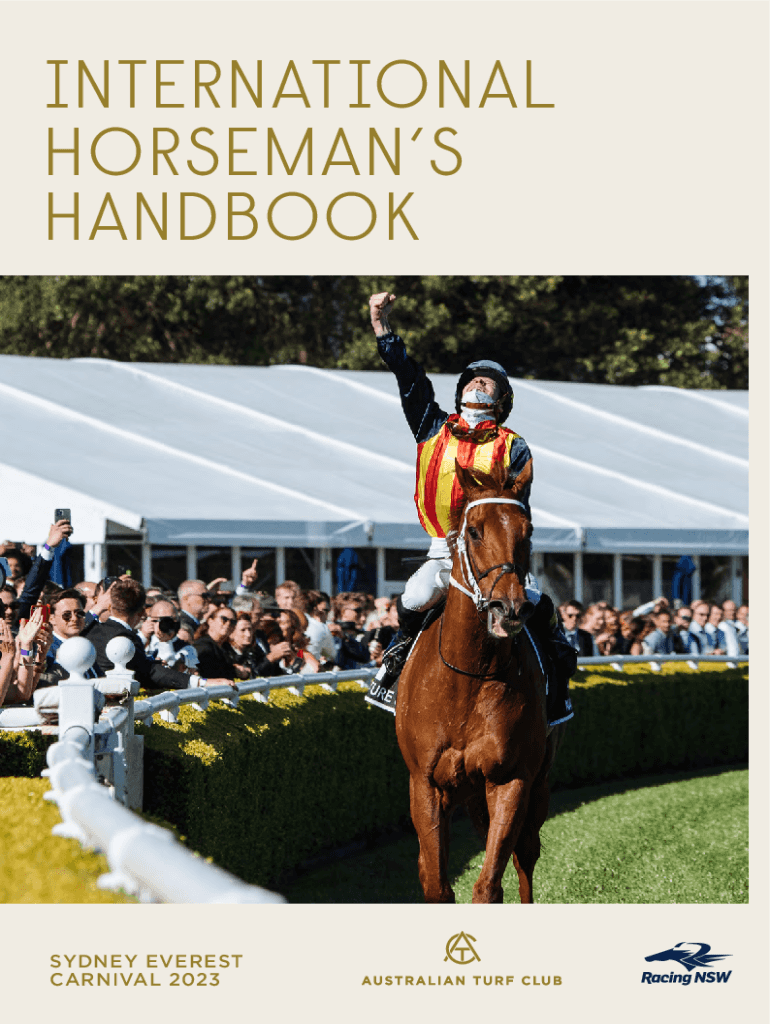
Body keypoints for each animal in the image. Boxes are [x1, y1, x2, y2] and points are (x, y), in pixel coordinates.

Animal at [395, 456, 561, 904]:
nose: (510, 607)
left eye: (528, 530)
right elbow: (435, 883)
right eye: (474, 530)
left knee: (525, 855)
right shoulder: (425, 784)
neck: (468, 677)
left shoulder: (511, 779)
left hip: (536, 784)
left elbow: (489, 884)